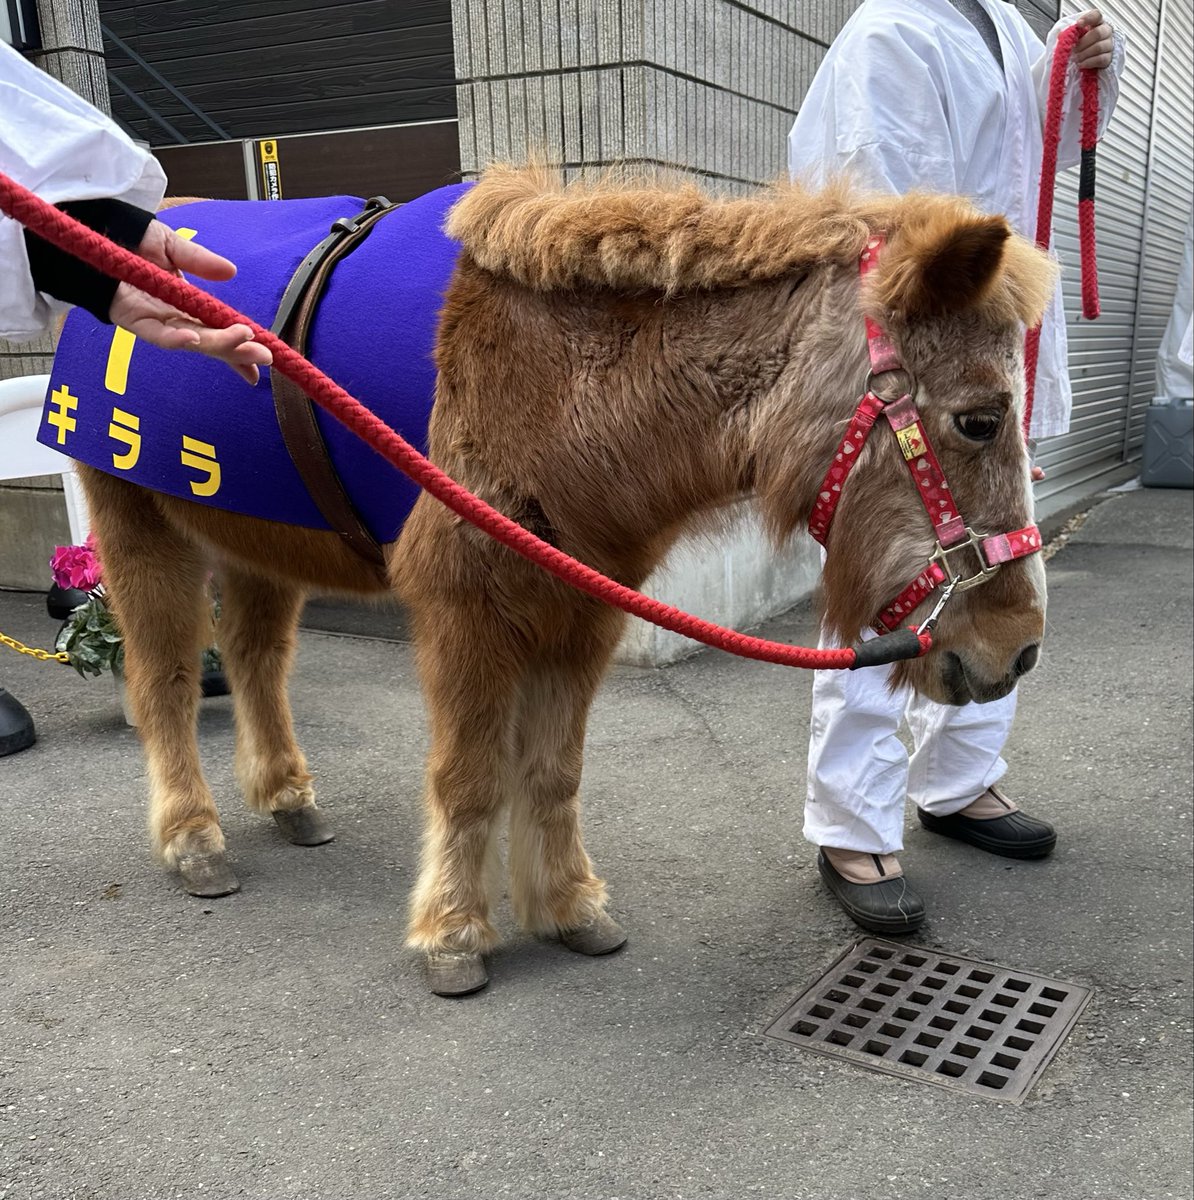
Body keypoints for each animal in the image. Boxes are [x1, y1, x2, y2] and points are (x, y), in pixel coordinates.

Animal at [59, 164, 1056, 995]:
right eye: (978, 418)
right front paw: (455, 933)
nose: (1017, 648)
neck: (559, 387)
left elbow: (552, 770)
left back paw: (286, 797)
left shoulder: (580, 612)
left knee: (257, 659)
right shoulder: (465, 613)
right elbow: (468, 777)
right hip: (137, 522)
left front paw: (568, 906)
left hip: (256, 536)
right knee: (167, 682)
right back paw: (193, 839)